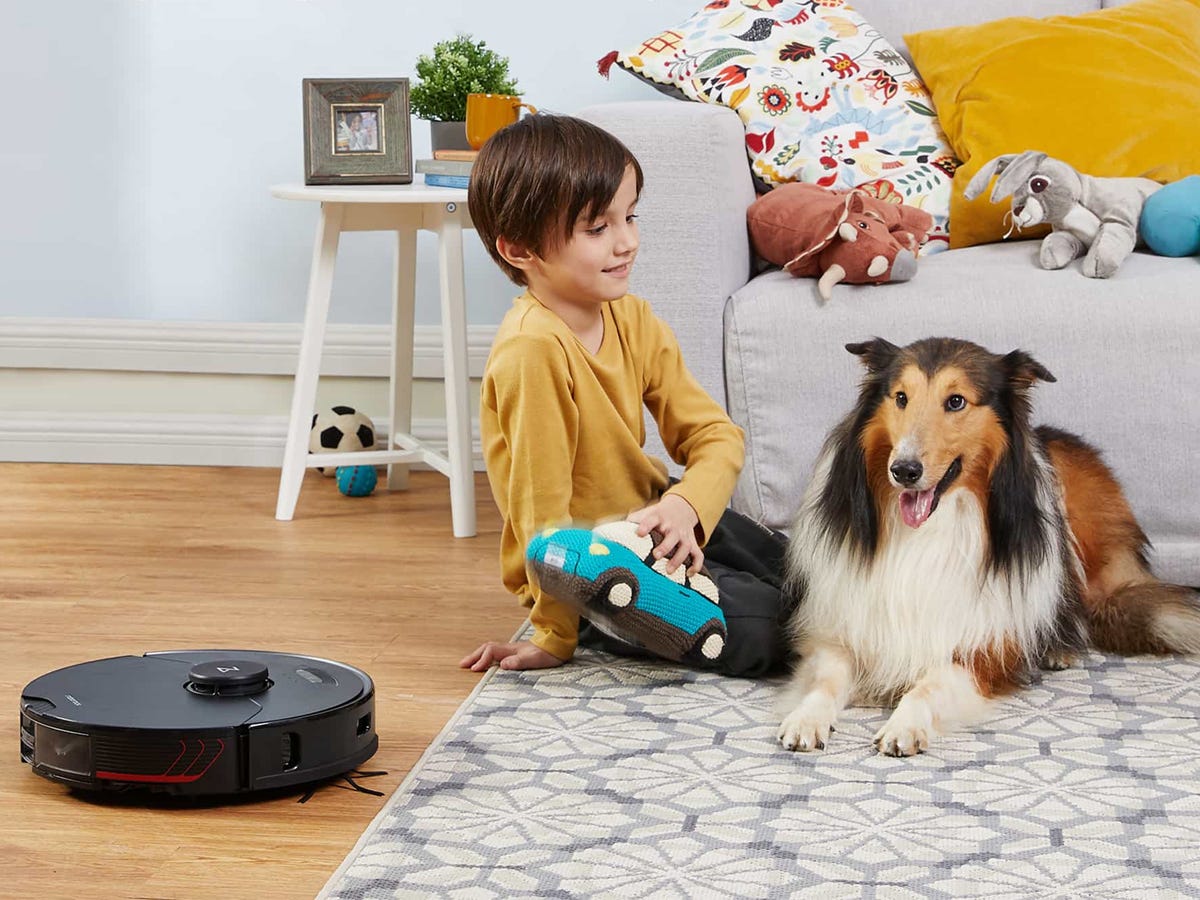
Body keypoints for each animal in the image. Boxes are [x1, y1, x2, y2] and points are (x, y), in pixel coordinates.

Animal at [777, 340, 1200, 763]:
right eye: (900, 398)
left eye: (956, 401)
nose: (904, 470)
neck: (932, 528)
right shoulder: (842, 627)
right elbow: (826, 679)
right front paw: (806, 719)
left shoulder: (985, 648)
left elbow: (930, 684)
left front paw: (904, 725)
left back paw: (1059, 646)